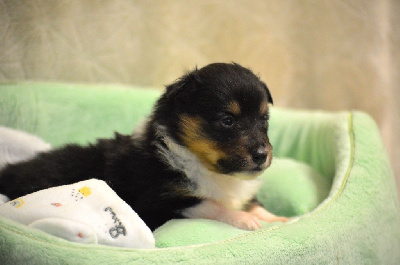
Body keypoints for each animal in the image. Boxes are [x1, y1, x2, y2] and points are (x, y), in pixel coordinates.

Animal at [0, 63, 288, 230]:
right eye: (228, 120)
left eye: (264, 120)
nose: (262, 155)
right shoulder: (159, 201)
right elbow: (210, 204)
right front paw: (245, 219)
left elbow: (252, 202)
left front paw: (278, 218)